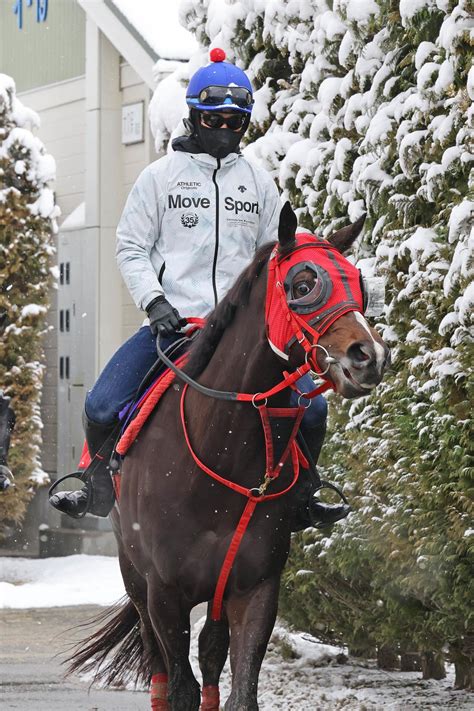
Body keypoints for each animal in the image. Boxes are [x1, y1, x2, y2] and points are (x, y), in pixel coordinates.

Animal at [69, 203, 388, 708]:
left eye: (359, 285)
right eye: (303, 285)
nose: (368, 356)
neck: (222, 451)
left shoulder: (254, 588)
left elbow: (240, 691)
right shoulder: (164, 593)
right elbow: (179, 687)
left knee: (211, 654)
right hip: (132, 574)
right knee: (158, 665)